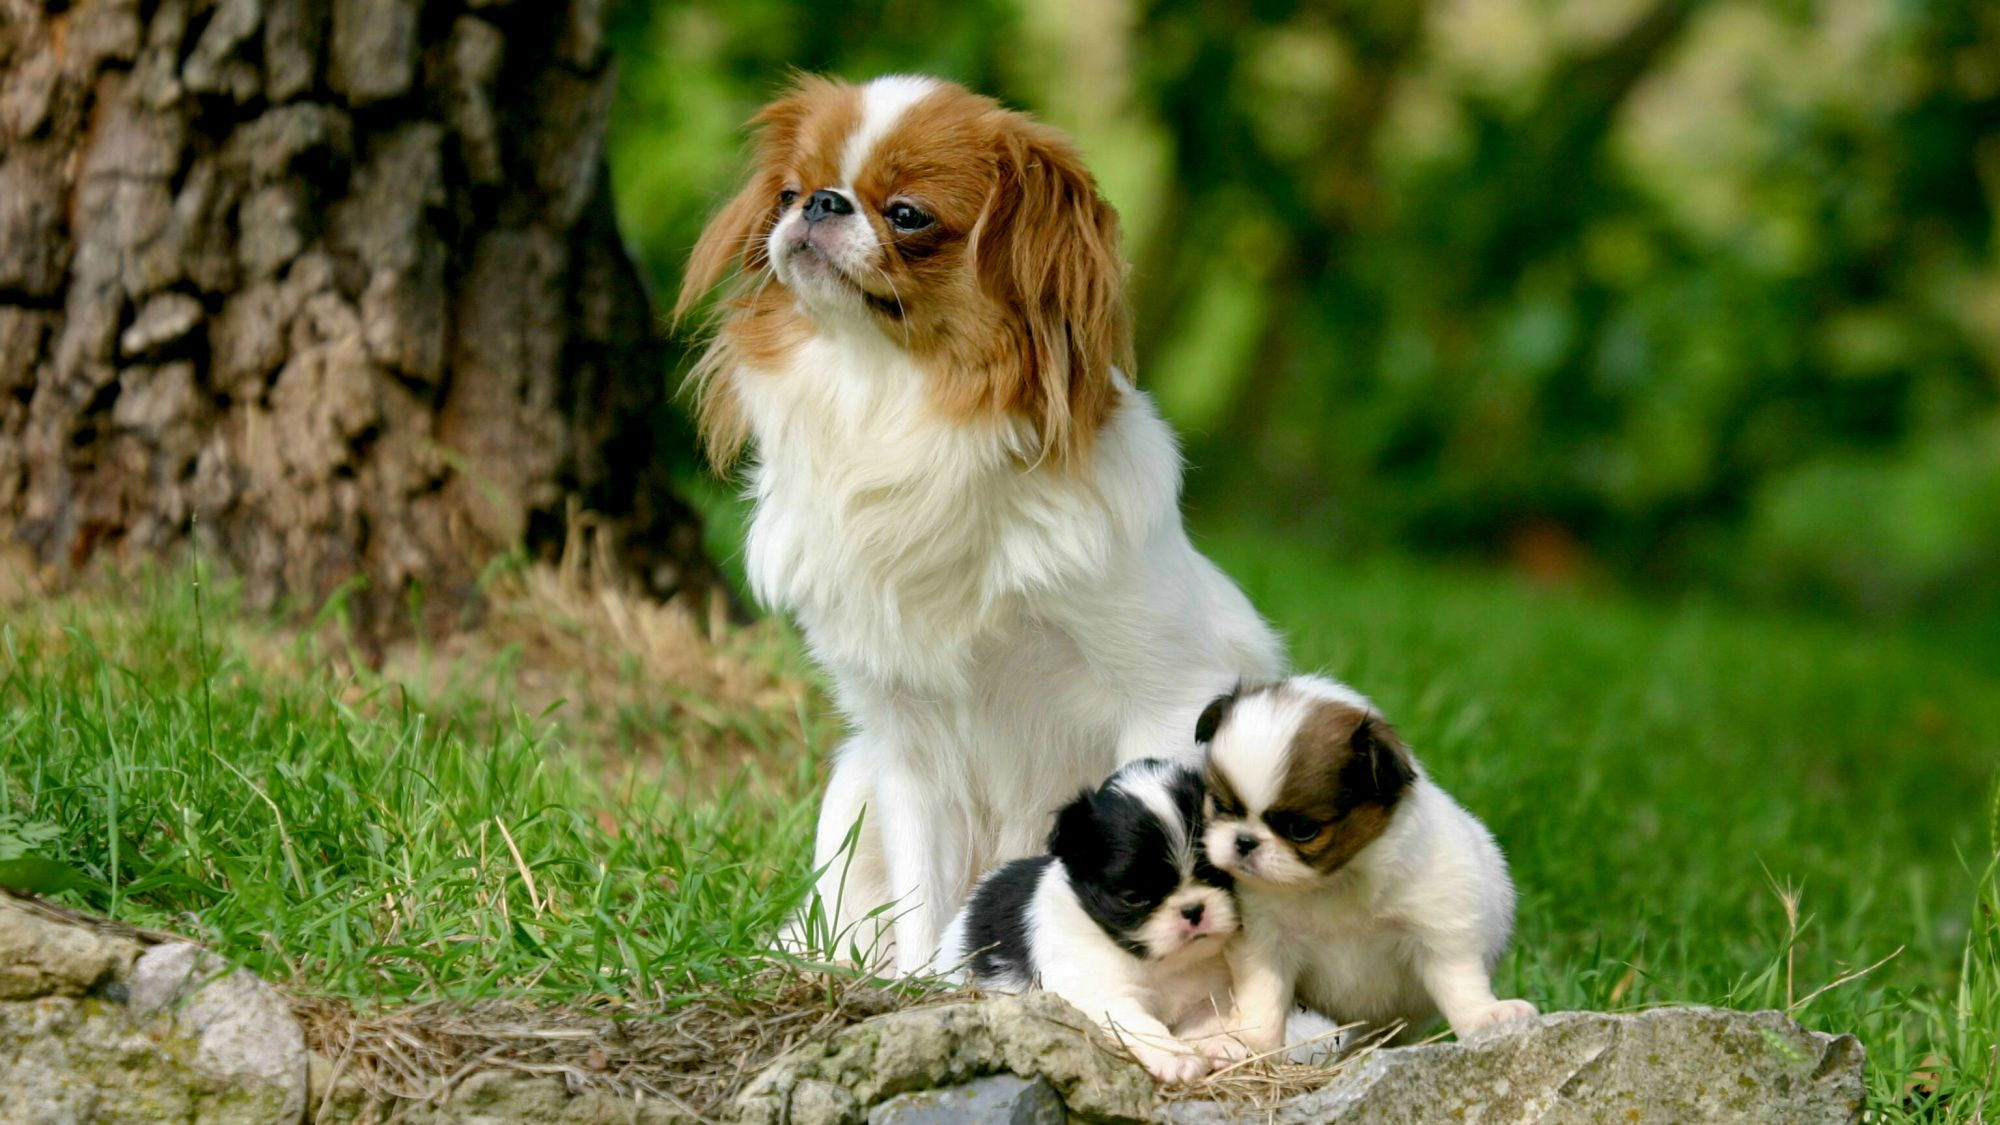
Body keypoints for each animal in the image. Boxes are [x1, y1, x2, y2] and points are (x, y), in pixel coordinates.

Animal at [932, 752, 1232, 1080]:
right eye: (1133, 898)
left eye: (1219, 874)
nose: (1193, 909)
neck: (1160, 966)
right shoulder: (1102, 994)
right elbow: (1140, 1025)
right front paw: (1176, 1057)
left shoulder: (1205, 988)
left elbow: (1210, 1013)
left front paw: (1219, 1042)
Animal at [1192, 672, 1536, 1048]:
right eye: (1220, 805)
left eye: (1302, 830)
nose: (1244, 841)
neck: (1337, 881)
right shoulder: (1266, 939)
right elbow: (1263, 997)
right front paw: (1251, 1042)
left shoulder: (1440, 928)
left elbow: (1460, 982)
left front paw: (1484, 1016)